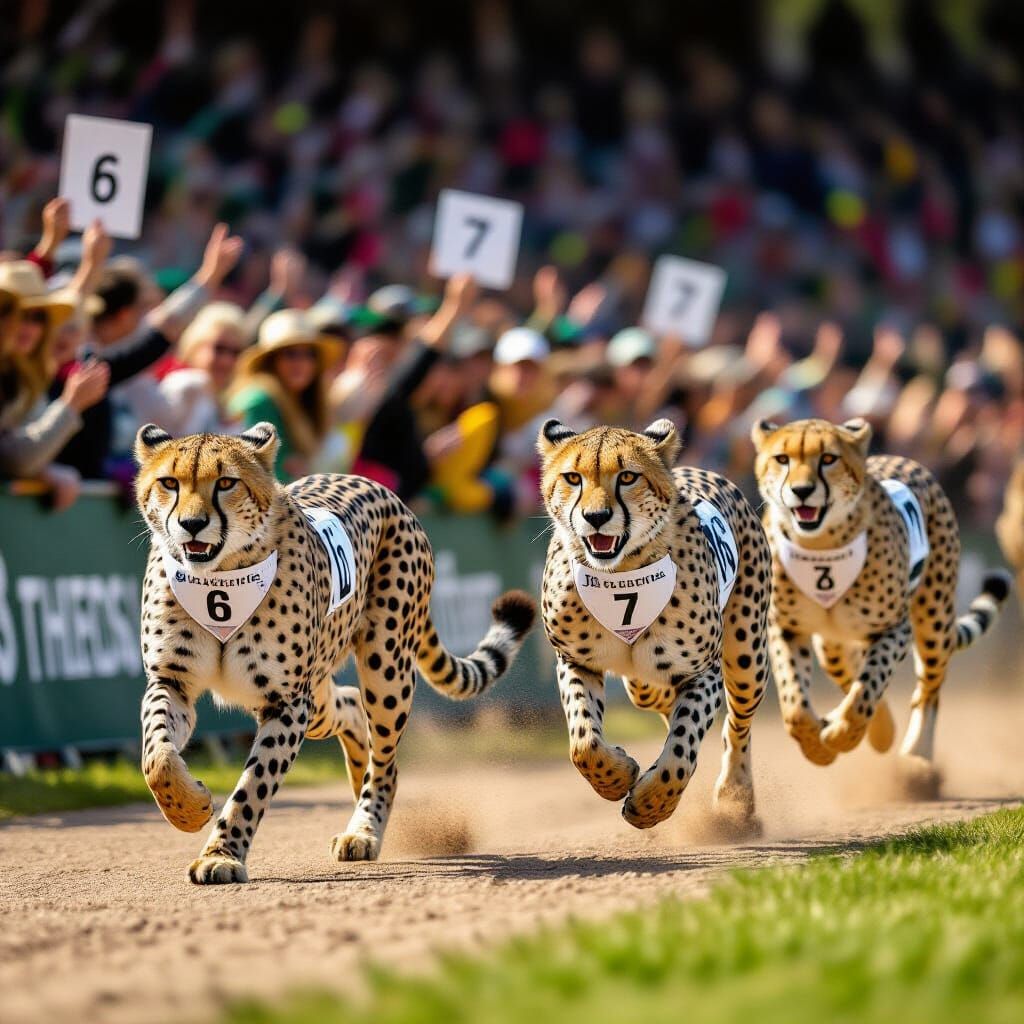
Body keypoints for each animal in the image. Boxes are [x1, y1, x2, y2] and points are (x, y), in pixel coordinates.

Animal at [134, 421, 535, 884]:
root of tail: (376, 485)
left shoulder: (286, 702)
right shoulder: (173, 682)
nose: (192, 524)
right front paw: (188, 808)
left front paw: (221, 853)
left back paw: (363, 828)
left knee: (386, 758)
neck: (219, 578)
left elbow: (252, 786)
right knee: (350, 705)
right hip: (316, 700)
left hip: (385, 668)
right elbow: (157, 757)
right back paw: (358, 774)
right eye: (169, 483)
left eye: (226, 483)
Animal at [537, 417, 771, 833]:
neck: (620, 572)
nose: (595, 518)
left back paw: (736, 801)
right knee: (655, 696)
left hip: (747, 660)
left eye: (628, 476)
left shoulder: (701, 672)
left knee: (736, 726)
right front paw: (617, 777)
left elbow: (680, 749)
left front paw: (651, 805)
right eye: (573, 478)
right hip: (645, 683)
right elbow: (584, 742)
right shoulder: (577, 661)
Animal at [752, 416, 1010, 791]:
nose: (801, 490)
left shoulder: (893, 628)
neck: (820, 544)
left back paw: (916, 759)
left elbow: (867, 690)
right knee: (848, 671)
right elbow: (796, 705)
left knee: (928, 690)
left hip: (933, 622)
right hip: (831, 644)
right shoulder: (786, 628)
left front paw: (843, 735)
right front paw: (820, 747)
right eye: (782, 459)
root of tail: (906, 460)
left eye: (828, 459)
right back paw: (874, 730)